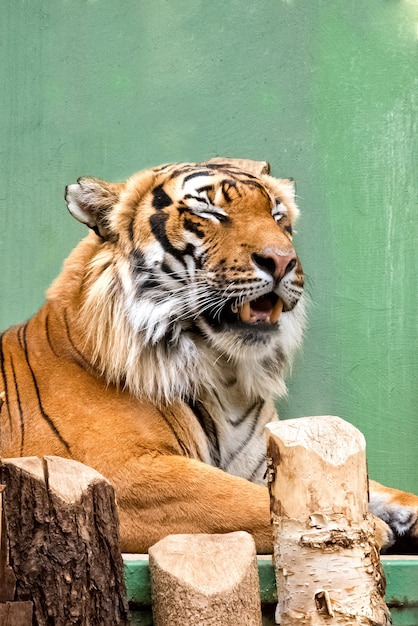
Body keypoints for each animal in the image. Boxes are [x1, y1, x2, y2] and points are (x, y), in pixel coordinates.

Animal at [0, 157, 418, 552]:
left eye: (277, 215)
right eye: (210, 213)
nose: (283, 261)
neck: (226, 379)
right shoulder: (115, 471)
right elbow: (245, 502)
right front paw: (370, 529)